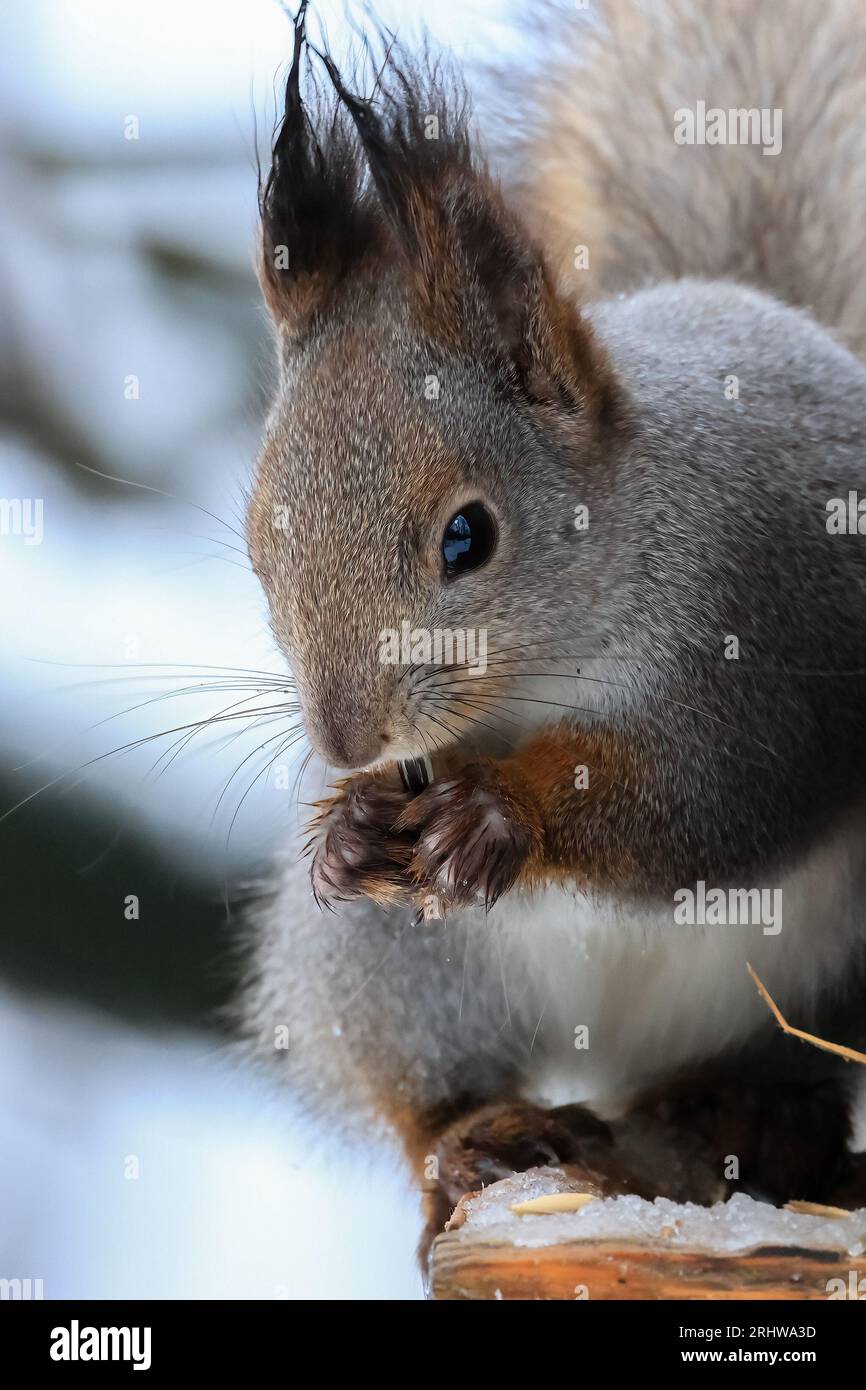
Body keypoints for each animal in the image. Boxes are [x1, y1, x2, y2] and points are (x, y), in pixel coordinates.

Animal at [241, 0, 866, 1251]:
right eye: (256, 536)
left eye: (467, 537)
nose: (343, 742)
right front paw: (343, 828)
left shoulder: (764, 649)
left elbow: (703, 797)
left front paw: (502, 811)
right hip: (399, 973)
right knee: (424, 1085)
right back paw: (474, 1138)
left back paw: (755, 1109)